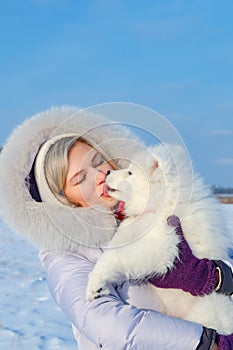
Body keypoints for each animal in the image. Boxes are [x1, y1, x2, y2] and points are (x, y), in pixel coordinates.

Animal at [86, 144, 233, 334]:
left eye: (130, 173)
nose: (108, 172)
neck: (160, 203)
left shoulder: (164, 244)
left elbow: (114, 257)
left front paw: (94, 284)